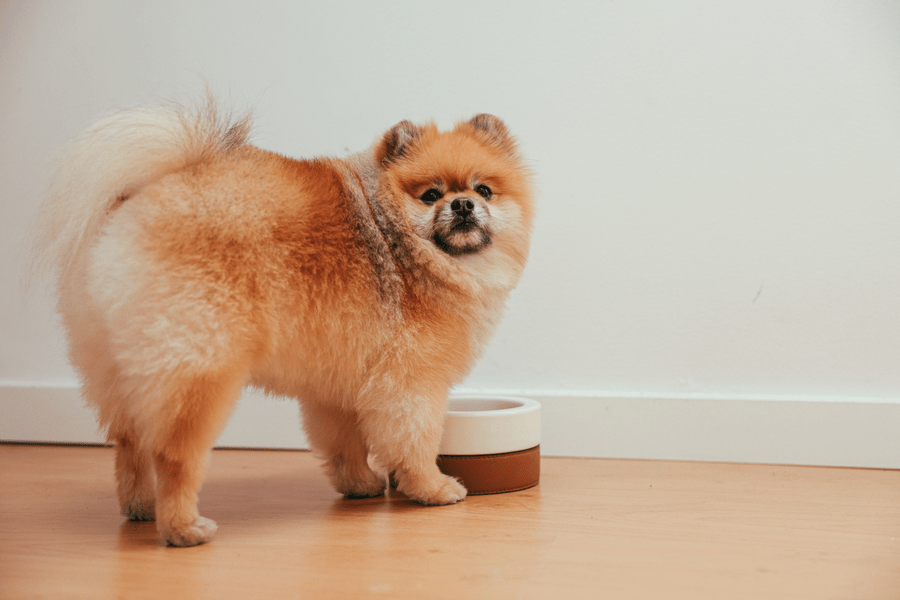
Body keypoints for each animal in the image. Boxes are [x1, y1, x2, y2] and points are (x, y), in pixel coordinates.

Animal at [29, 97, 536, 544]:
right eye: (432, 195)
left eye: (484, 190)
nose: (463, 205)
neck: (407, 248)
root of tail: (136, 202)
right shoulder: (412, 382)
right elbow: (415, 440)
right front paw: (431, 488)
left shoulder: (340, 380)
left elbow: (344, 441)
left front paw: (360, 484)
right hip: (200, 368)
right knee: (172, 454)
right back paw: (182, 528)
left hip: (116, 366)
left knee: (128, 445)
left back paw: (141, 508)